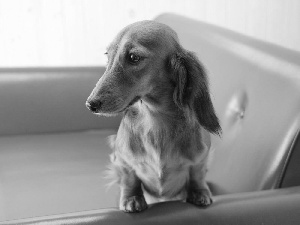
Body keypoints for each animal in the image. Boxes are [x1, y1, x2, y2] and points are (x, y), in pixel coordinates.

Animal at [85, 20, 221, 213]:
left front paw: (199, 192)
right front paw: (132, 198)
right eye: (108, 55)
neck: (155, 119)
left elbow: (197, 175)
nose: (91, 104)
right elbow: (129, 180)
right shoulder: (122, 161)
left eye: (134, 57)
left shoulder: (201, 158)